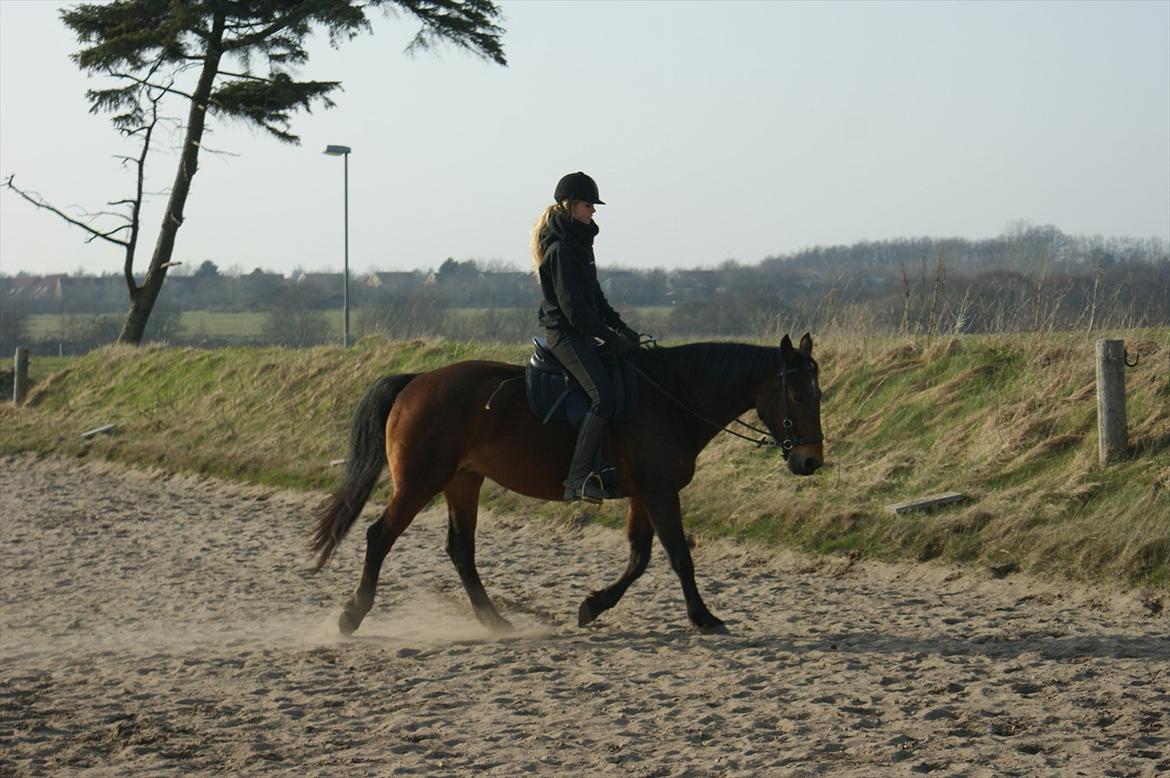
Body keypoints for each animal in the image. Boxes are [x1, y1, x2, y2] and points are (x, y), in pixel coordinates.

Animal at [311, 329, 823, 636]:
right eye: (798, 395)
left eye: (818, 394)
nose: (810, 461)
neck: (671, 399)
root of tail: (417, 381)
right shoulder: (659, 492)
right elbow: (678, 555)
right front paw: (704, 617)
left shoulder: (644, 493)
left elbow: (639, 557)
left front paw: (593, 605)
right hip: (420, 482)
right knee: (380, 536)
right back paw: (352, 615)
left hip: (463, 481)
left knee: (460, 550)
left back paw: (494, 620)